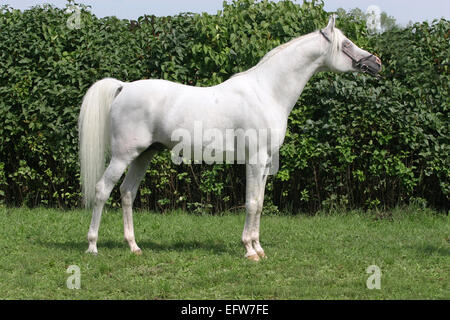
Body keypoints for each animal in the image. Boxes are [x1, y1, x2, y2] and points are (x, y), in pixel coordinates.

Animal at [79, 15, 382, 260]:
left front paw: (258, 248)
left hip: (144, 155)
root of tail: (124, 87)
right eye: (346, 44)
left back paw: (134, 246)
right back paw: (92, 246)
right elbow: (251, 203)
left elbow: (259, 203)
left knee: (127, 193)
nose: (376, 63)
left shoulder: (266, 162)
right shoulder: (255, 160)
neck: (267, 92)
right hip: (123, 156)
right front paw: (249, 250)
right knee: (102, 190)